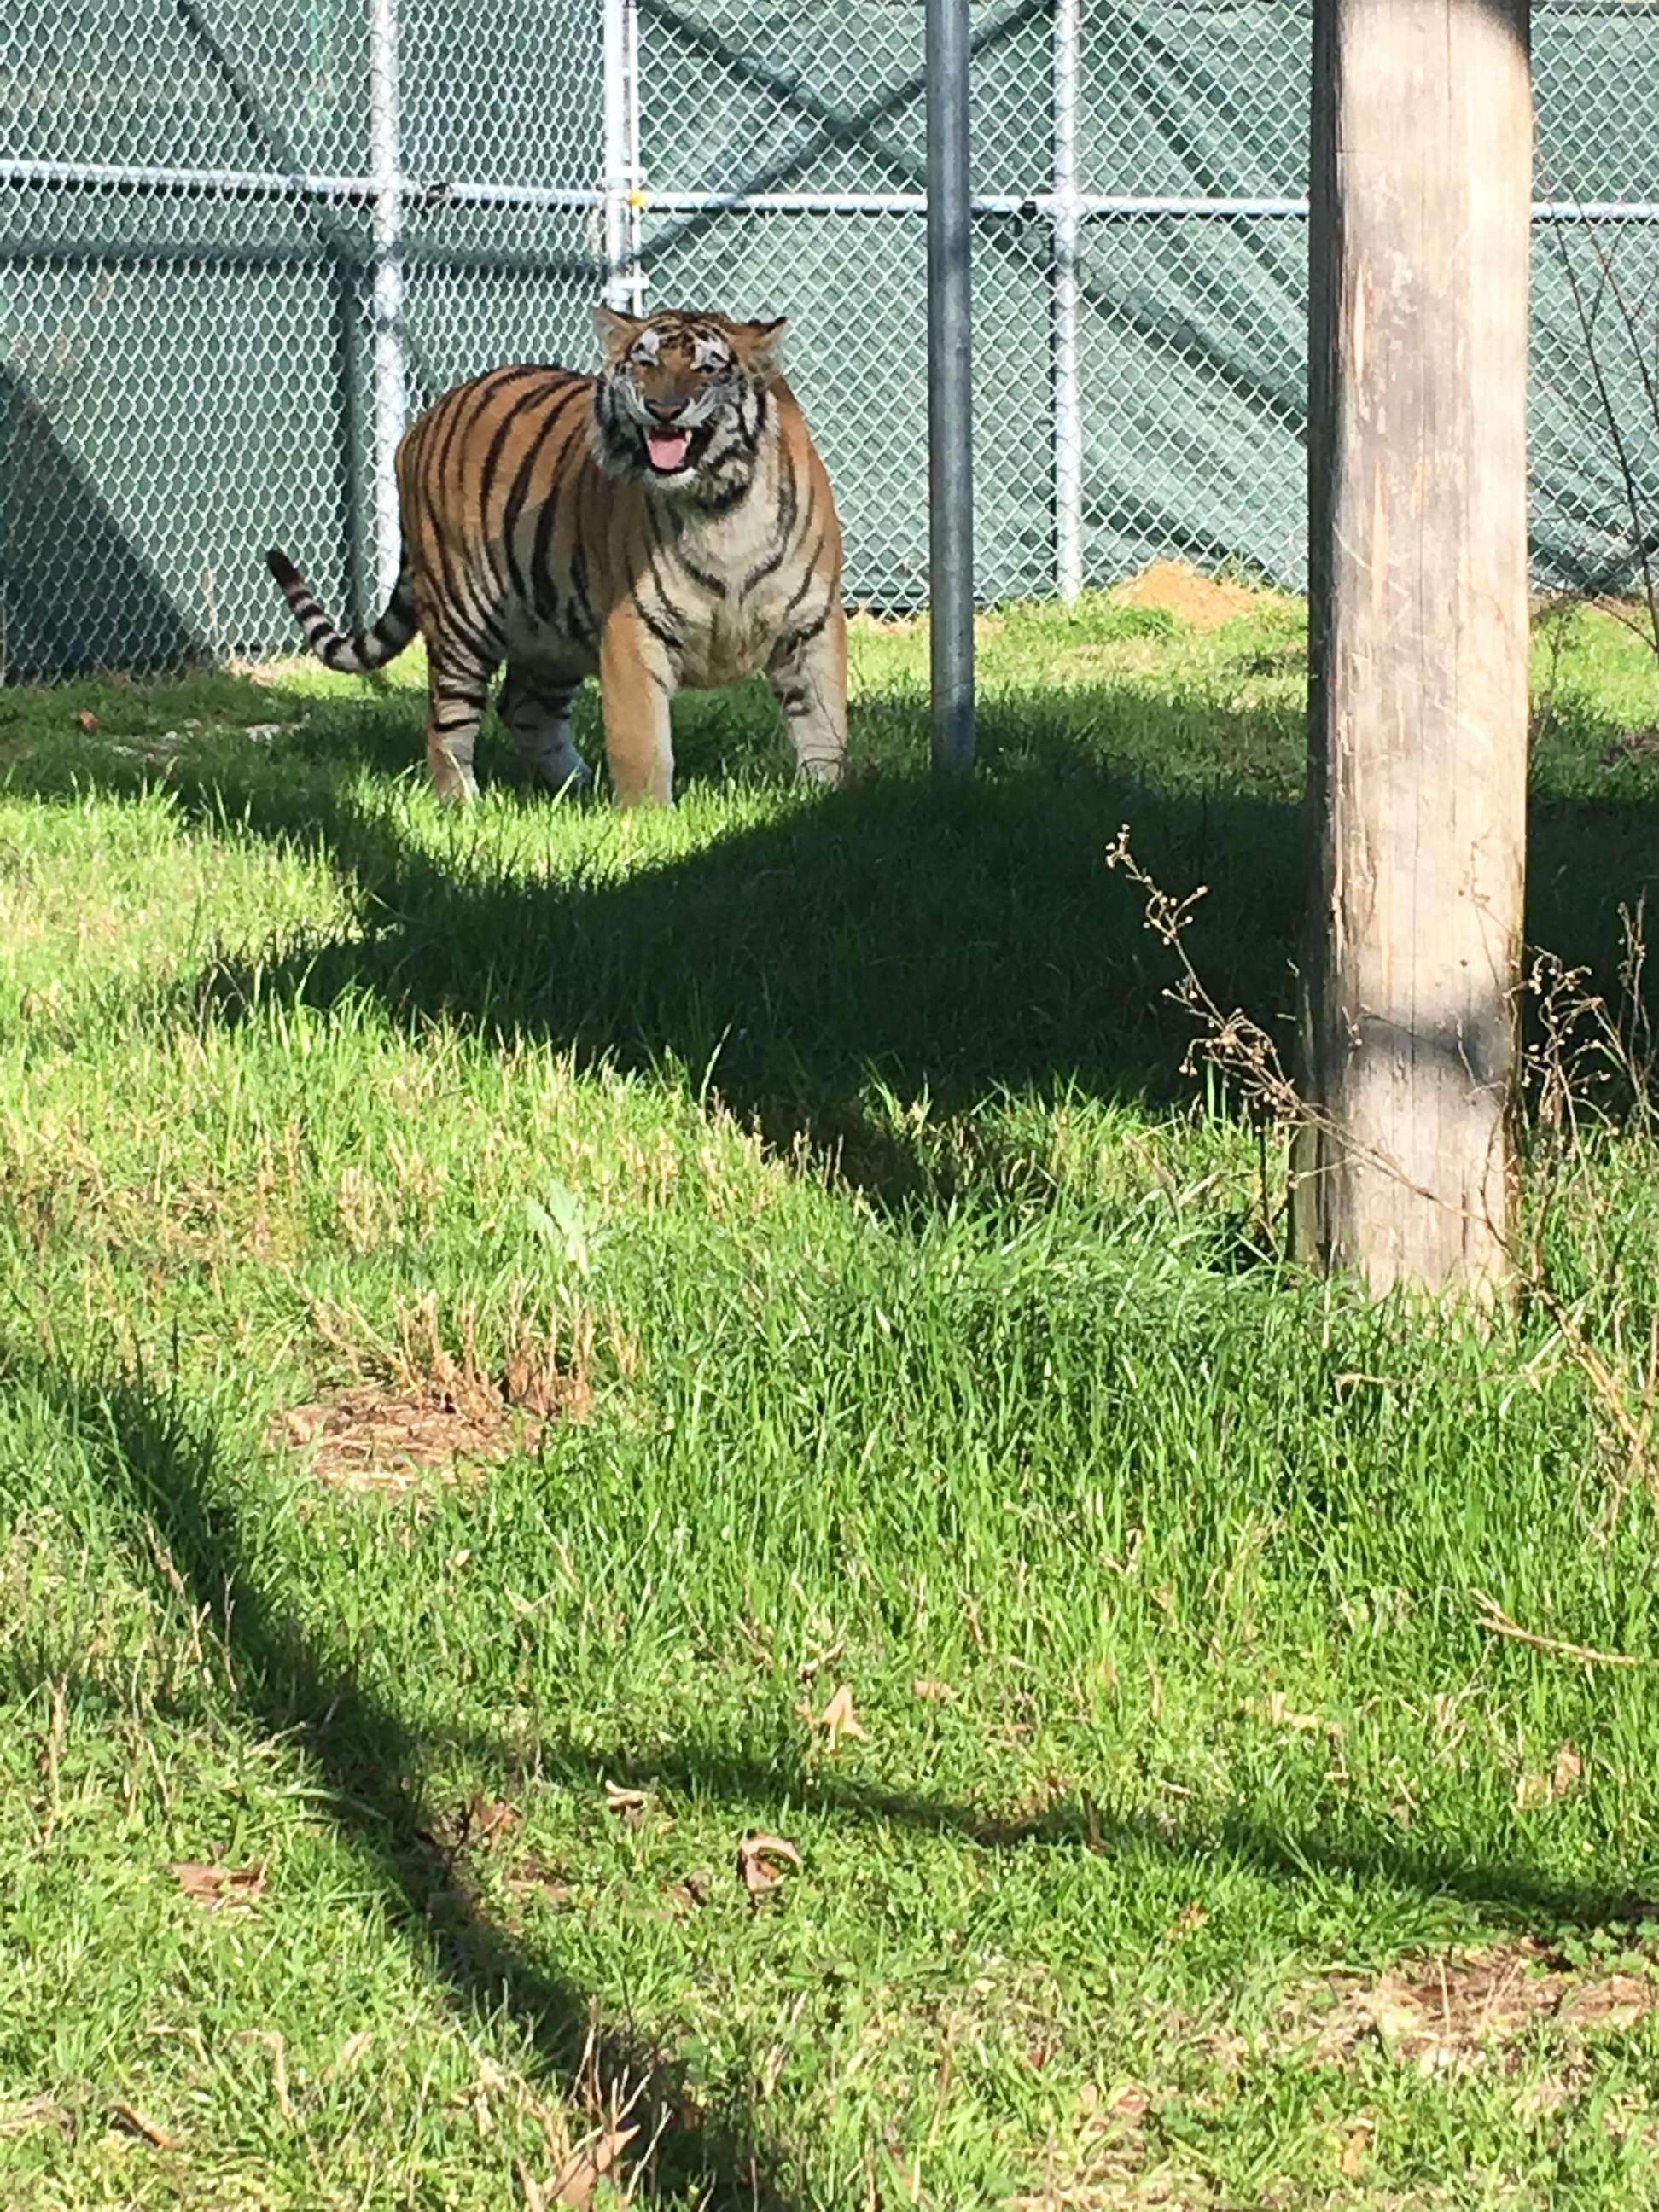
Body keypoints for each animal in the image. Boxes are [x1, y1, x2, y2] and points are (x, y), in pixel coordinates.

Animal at [271, 300, 849, 805]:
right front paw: (646, 822)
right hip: (462, 618)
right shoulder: (632, 627)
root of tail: (422, 421)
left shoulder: (813, 622)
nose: (663, 409)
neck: (721, 506)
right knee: (446, 719)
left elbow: (825, 725)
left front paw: (825, 801)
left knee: (526, 710)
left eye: (707, 368)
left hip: (553, 628)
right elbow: (642, 742)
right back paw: (462, 801)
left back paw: (578, 789)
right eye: (646, 362)